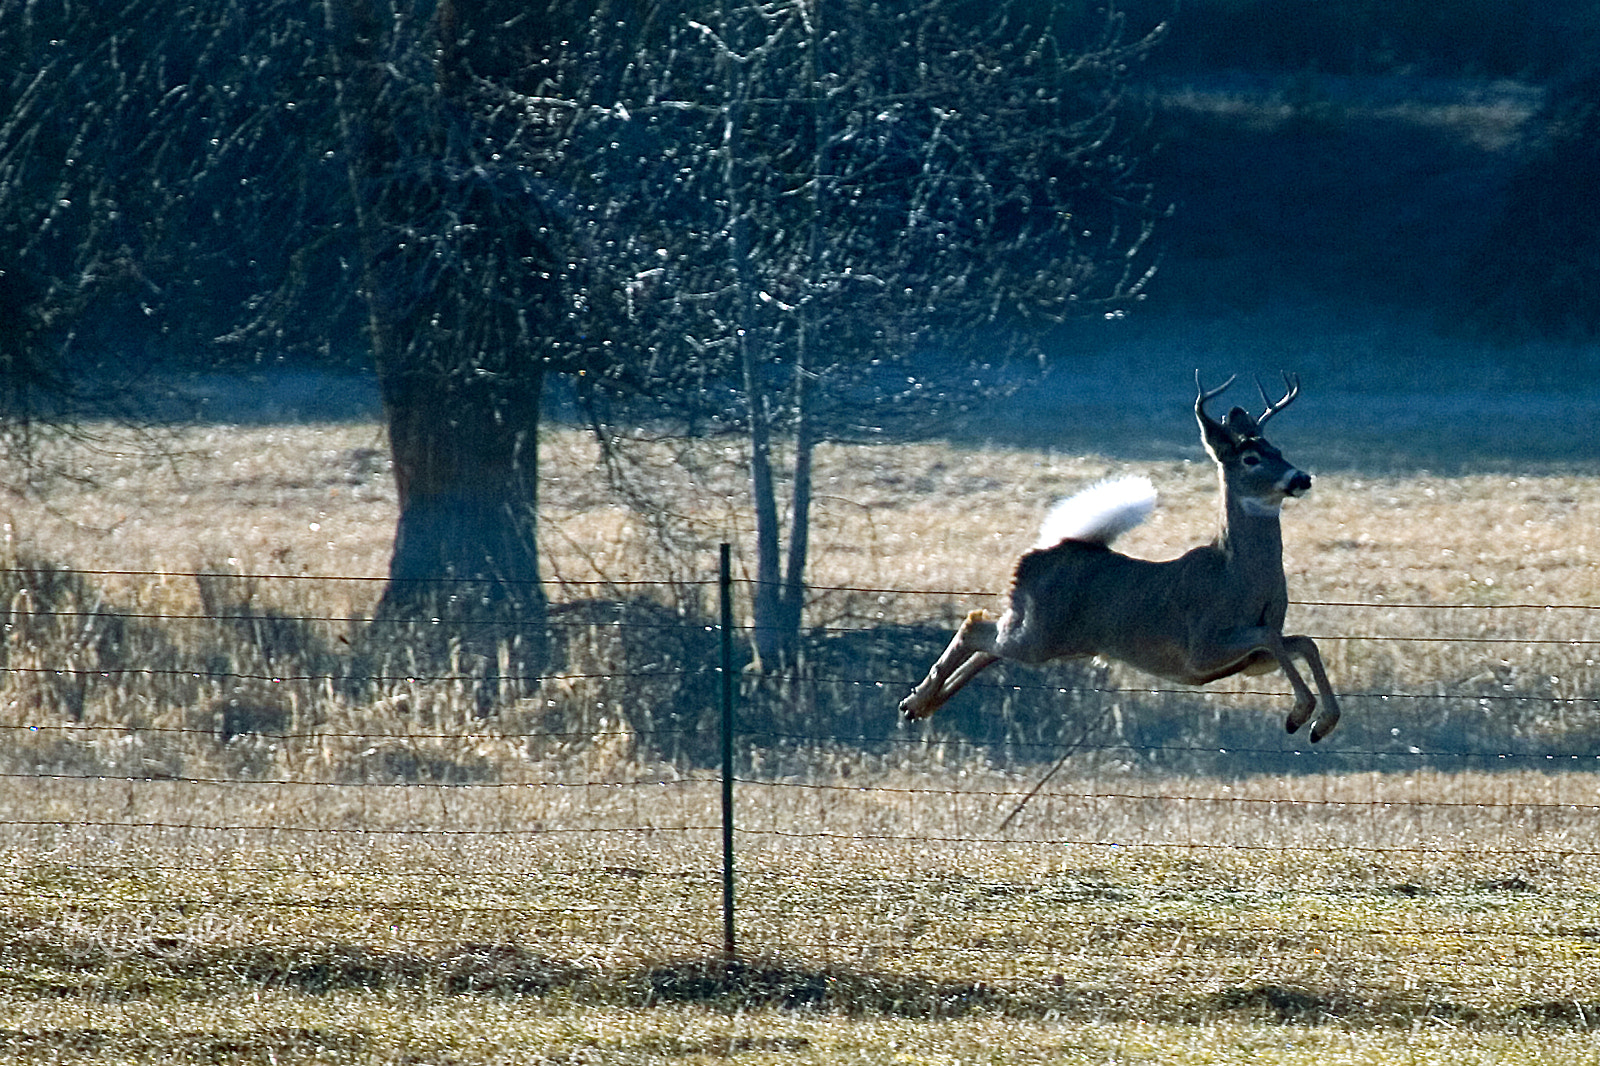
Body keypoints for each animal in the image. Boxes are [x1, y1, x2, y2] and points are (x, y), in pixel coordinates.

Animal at [899, 371, 1341, 742]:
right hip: (1038, 632)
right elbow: (1273, 636)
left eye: (1279, 449)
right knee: (974, 628)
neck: (1239, 579)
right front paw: (1301, 714)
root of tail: (1042, 552)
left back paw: (923, 705)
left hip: (1041, 634)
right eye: (1251, 458)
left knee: (987, 647)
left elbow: (1302, 642)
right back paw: (916, 700)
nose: (1301, 478)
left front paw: (1320, 722)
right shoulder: (1201, 649)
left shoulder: (1251, 661)